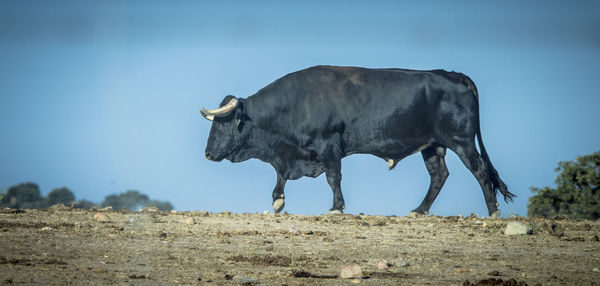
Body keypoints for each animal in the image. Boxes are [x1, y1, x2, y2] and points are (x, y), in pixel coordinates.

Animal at [202, 65, 516, 217]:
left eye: (221, 123)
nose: (206, 153)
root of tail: (451, 74)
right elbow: (280, 178)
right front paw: (278, 200)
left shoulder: (328, 145)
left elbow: (333, 177)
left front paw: (336, 207)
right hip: (432, 146)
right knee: (439, 175)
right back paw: (419, 210)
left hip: (461, 140)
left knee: (479, 170)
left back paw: (492, 211)